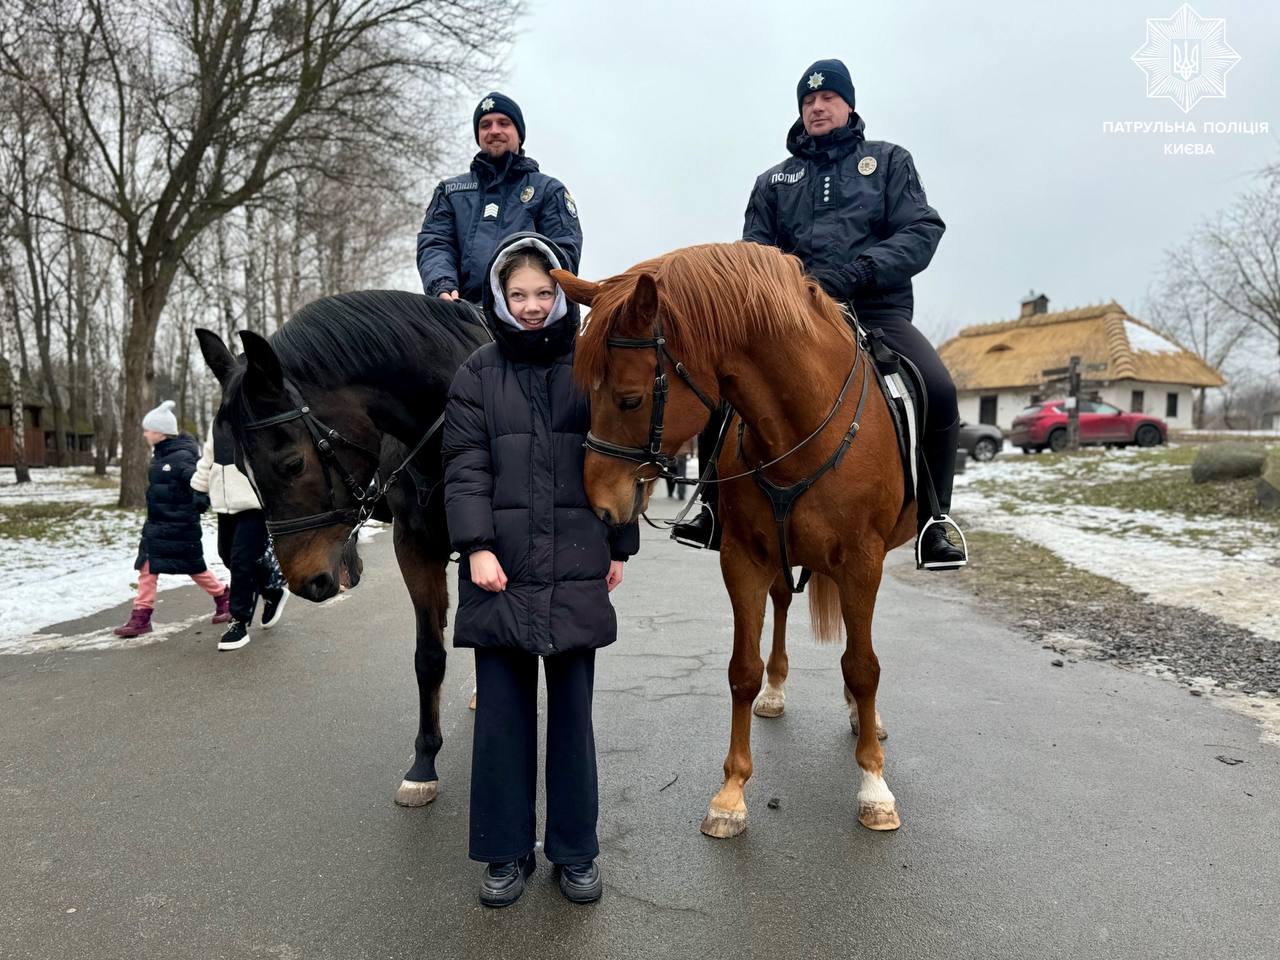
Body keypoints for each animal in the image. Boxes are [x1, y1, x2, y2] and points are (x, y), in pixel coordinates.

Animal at [195, 289, 488, 808]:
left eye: (292, 463)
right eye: (242, 471)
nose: (306, 582)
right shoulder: (414, 547)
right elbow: (429, 656)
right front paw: (423, 763)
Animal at [555, 244, 916, 839]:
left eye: (629, 400)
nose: (600, 503)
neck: (799, 432)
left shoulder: (863, 561)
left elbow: (863, 667)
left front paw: (874, 788)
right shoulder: (744, 559)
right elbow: (741, 672)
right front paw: (730, 795)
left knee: (856, 649)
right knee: (784, 603)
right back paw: (778, 690)